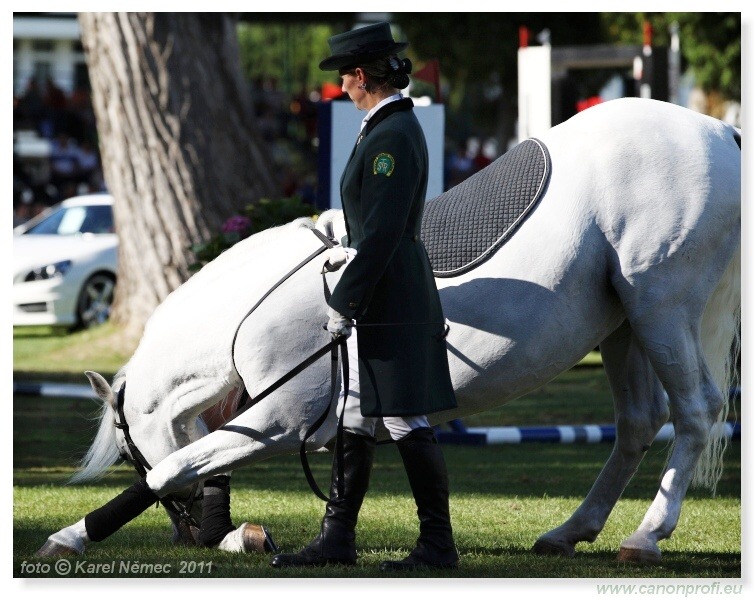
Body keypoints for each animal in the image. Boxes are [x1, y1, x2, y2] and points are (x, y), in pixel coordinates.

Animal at [38, 97, 736, 564]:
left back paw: (645, 537)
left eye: (127, 450)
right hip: (624, 324)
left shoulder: (278, 422)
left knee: (695, 412)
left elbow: (173, 468)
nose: (193, 536)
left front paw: (71, 536)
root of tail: (719, 130)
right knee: (639, 422)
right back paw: (571, 531)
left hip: (660, 306)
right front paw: (263, 538)